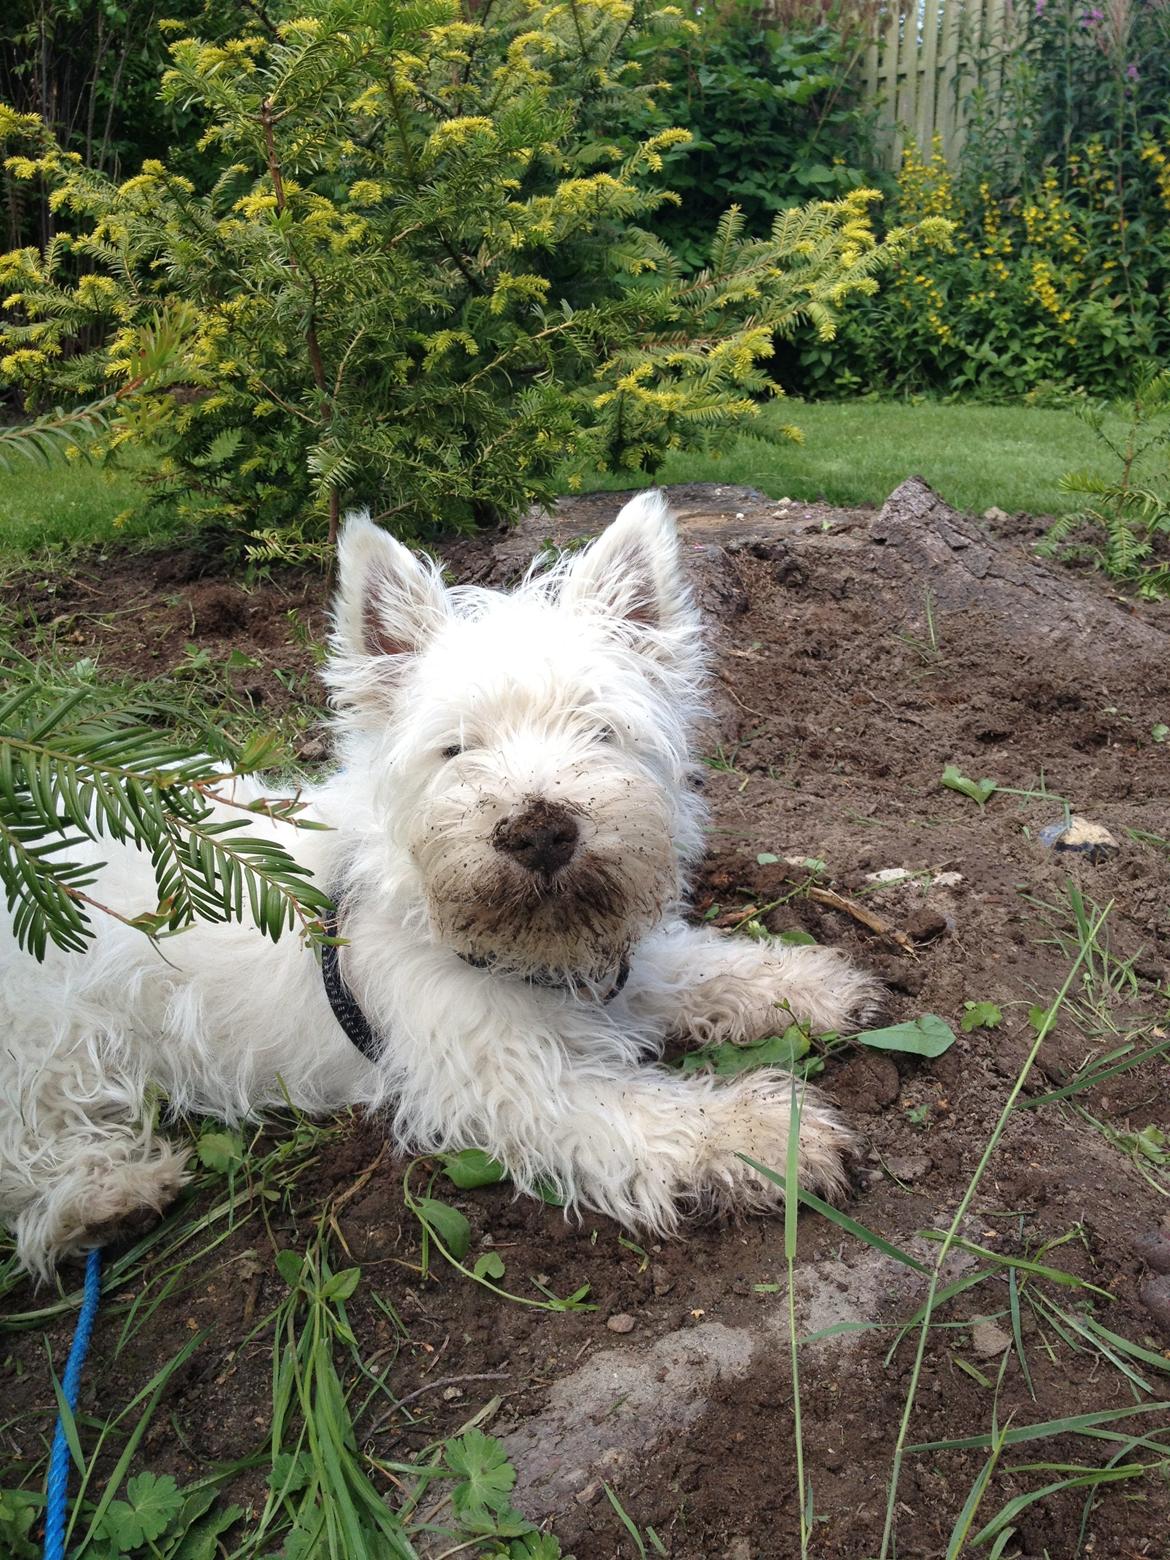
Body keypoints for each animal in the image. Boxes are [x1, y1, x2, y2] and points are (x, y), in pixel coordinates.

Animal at [0, 492, 879, 1272]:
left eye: (600, 731)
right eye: (457, 749)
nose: (540, 831)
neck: (516, 944)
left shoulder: (612, 970)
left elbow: (696, 967)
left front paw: (807, 983)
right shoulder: (510, 1082)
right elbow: (652, 1113)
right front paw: (769, 1135)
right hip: (59, 1027)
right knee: (33, 1125)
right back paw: (104, 1196)